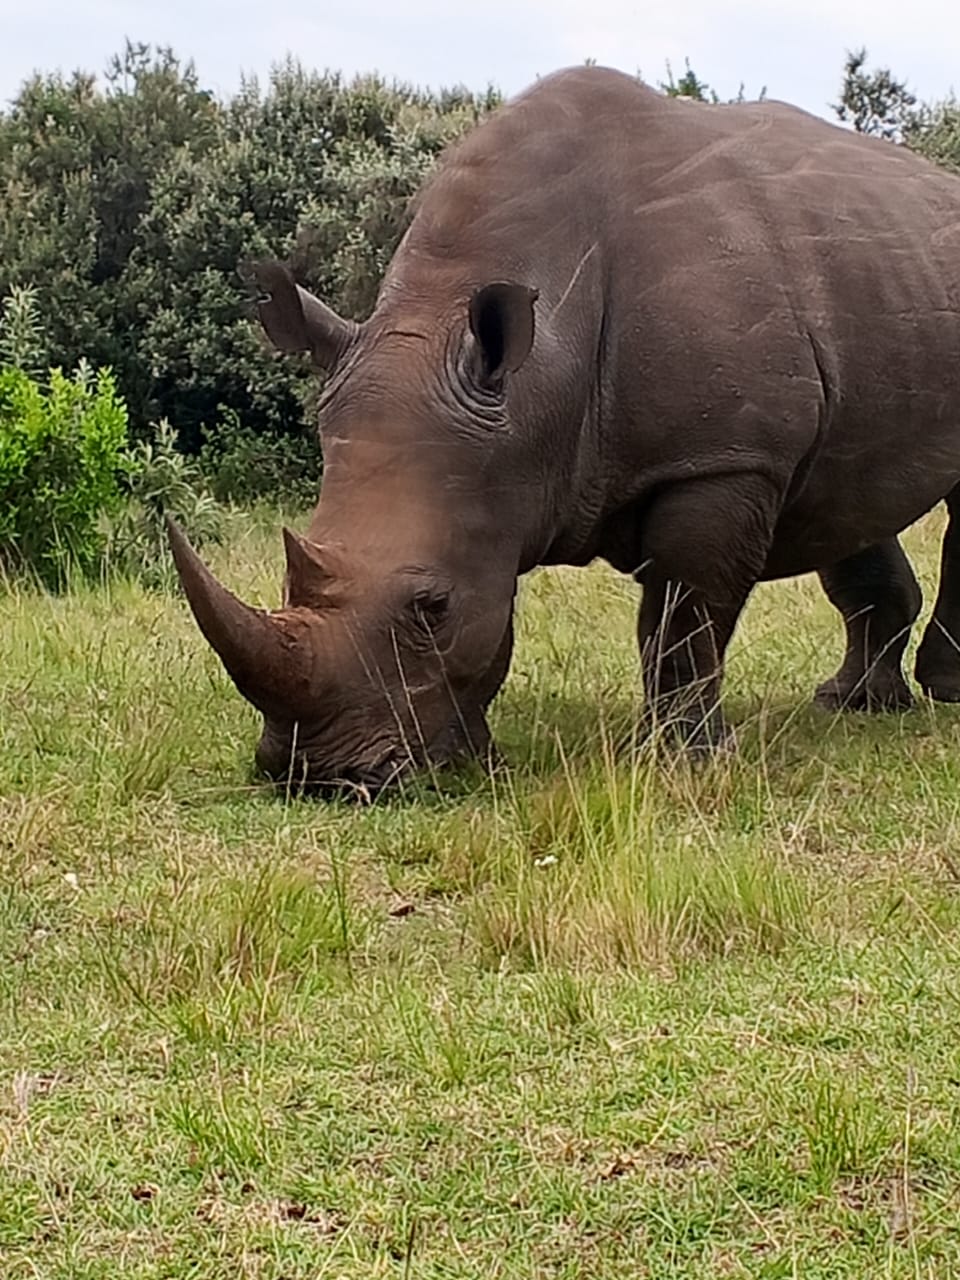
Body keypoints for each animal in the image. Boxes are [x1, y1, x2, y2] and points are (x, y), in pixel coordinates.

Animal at [169, 65, 960, 792]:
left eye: (434, 607)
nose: (323, 778)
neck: (537, 384)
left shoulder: (723, 457)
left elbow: (685, 613)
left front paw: (684, 760)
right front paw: (477, 756)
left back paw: (939, 694)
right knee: (847, 490)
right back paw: (853, 703)